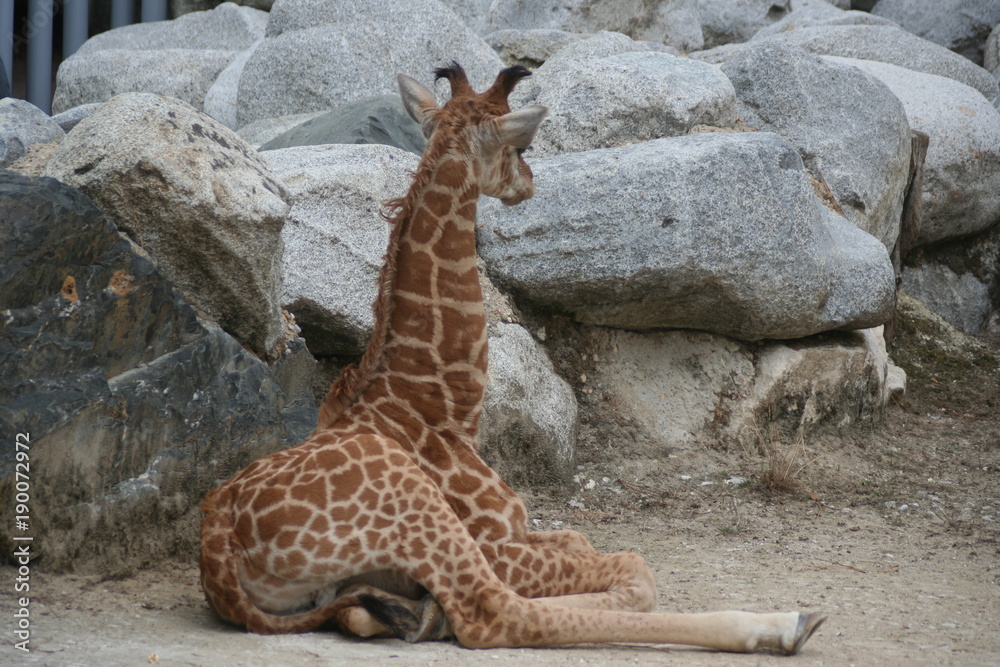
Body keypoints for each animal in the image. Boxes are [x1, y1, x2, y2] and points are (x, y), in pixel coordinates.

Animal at [199, 62, 826, 654]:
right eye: (521, 147)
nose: (529, 184)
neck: (438, 407)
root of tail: (220, 552)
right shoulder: (494, 543)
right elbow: (633, 569)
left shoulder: (519, 531)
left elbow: (585, 542)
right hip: (415, 510)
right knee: (494, 614)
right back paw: (784, 622)